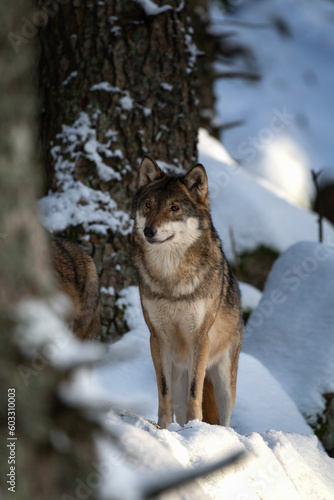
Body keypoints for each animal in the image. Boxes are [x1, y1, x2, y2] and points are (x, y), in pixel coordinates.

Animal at [132, 157, 244, 430]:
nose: (149, 230)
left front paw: (196, 427)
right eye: (149, 205)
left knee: (225, 418)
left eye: (174, 208)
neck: (172, 278)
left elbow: (196, 391)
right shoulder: (157, 338)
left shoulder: (200, 338)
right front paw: (163, 429)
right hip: (179, 375)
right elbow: (163, 393)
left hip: (225, 383)